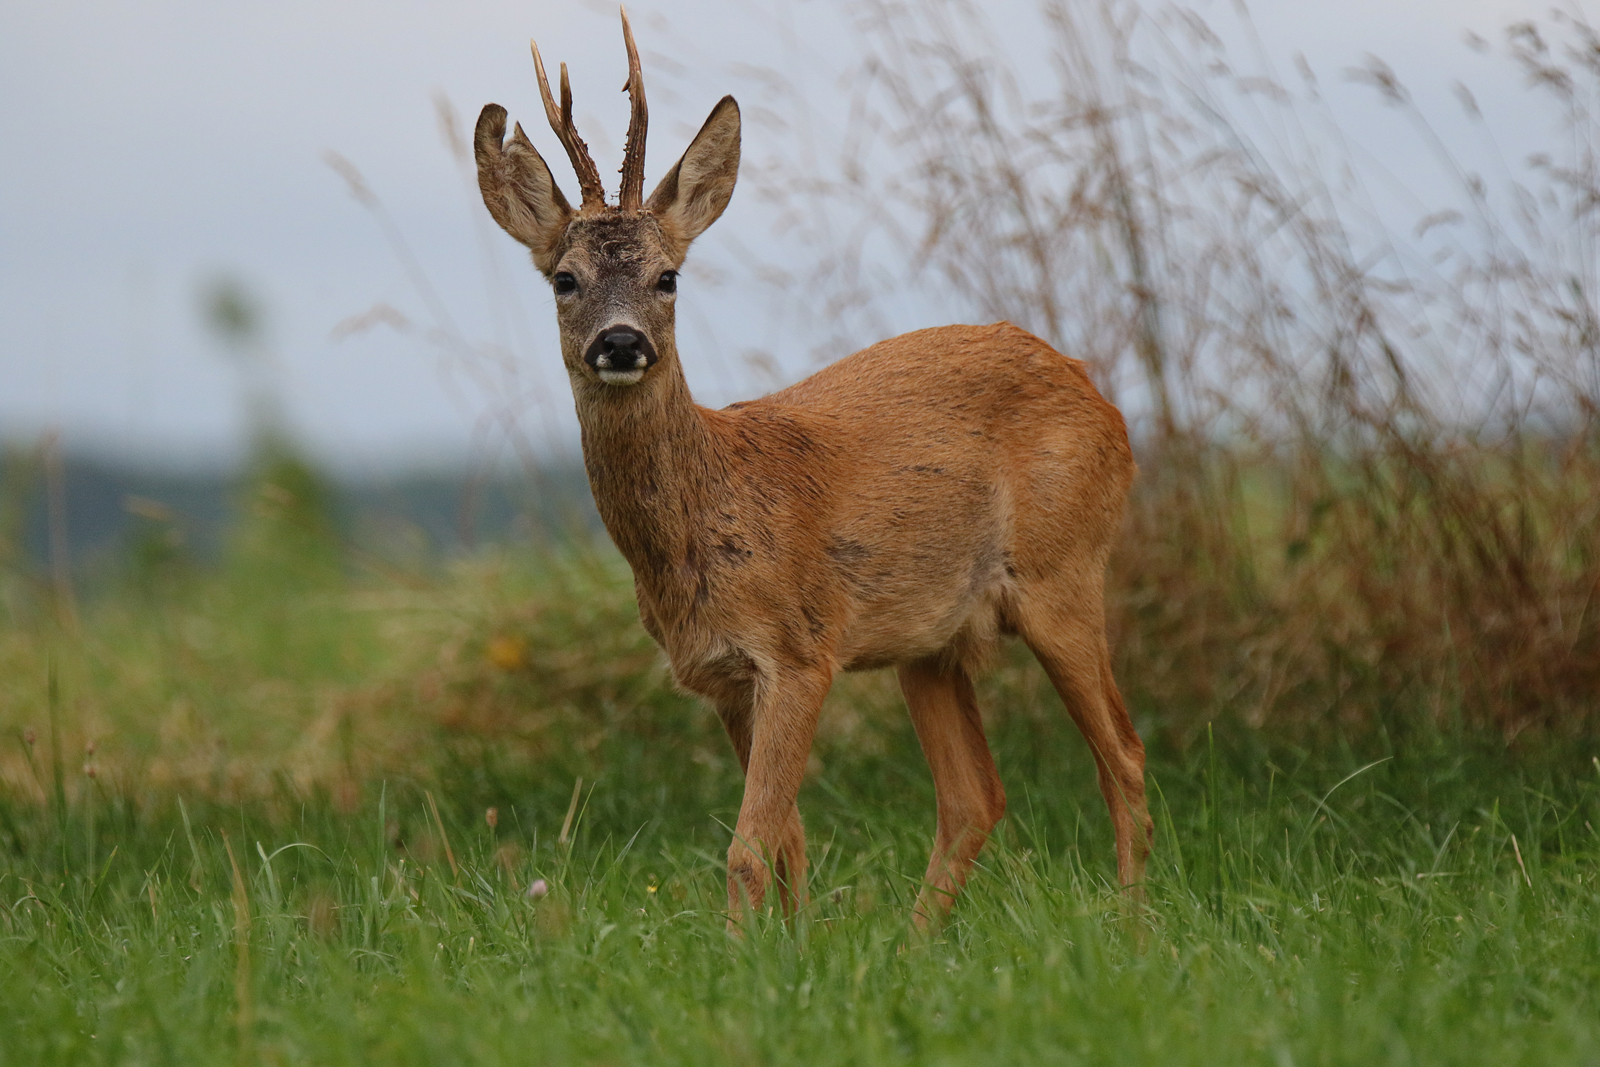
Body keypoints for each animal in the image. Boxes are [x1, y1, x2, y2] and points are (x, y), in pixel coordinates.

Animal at [470, 10, 1152, 927]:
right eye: (564, 279)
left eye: (667, 276)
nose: (621, 342)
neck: (702, 518)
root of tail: (1102, 403)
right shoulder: (723, 674)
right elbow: (787, 842)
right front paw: (791, 948)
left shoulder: (799, 650)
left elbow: (749, 846)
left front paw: (743, 953)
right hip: (930, 639)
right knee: (975, 793)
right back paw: (914, 940)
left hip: (1064, 569)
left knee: (1124, 753)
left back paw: (1133, 926)